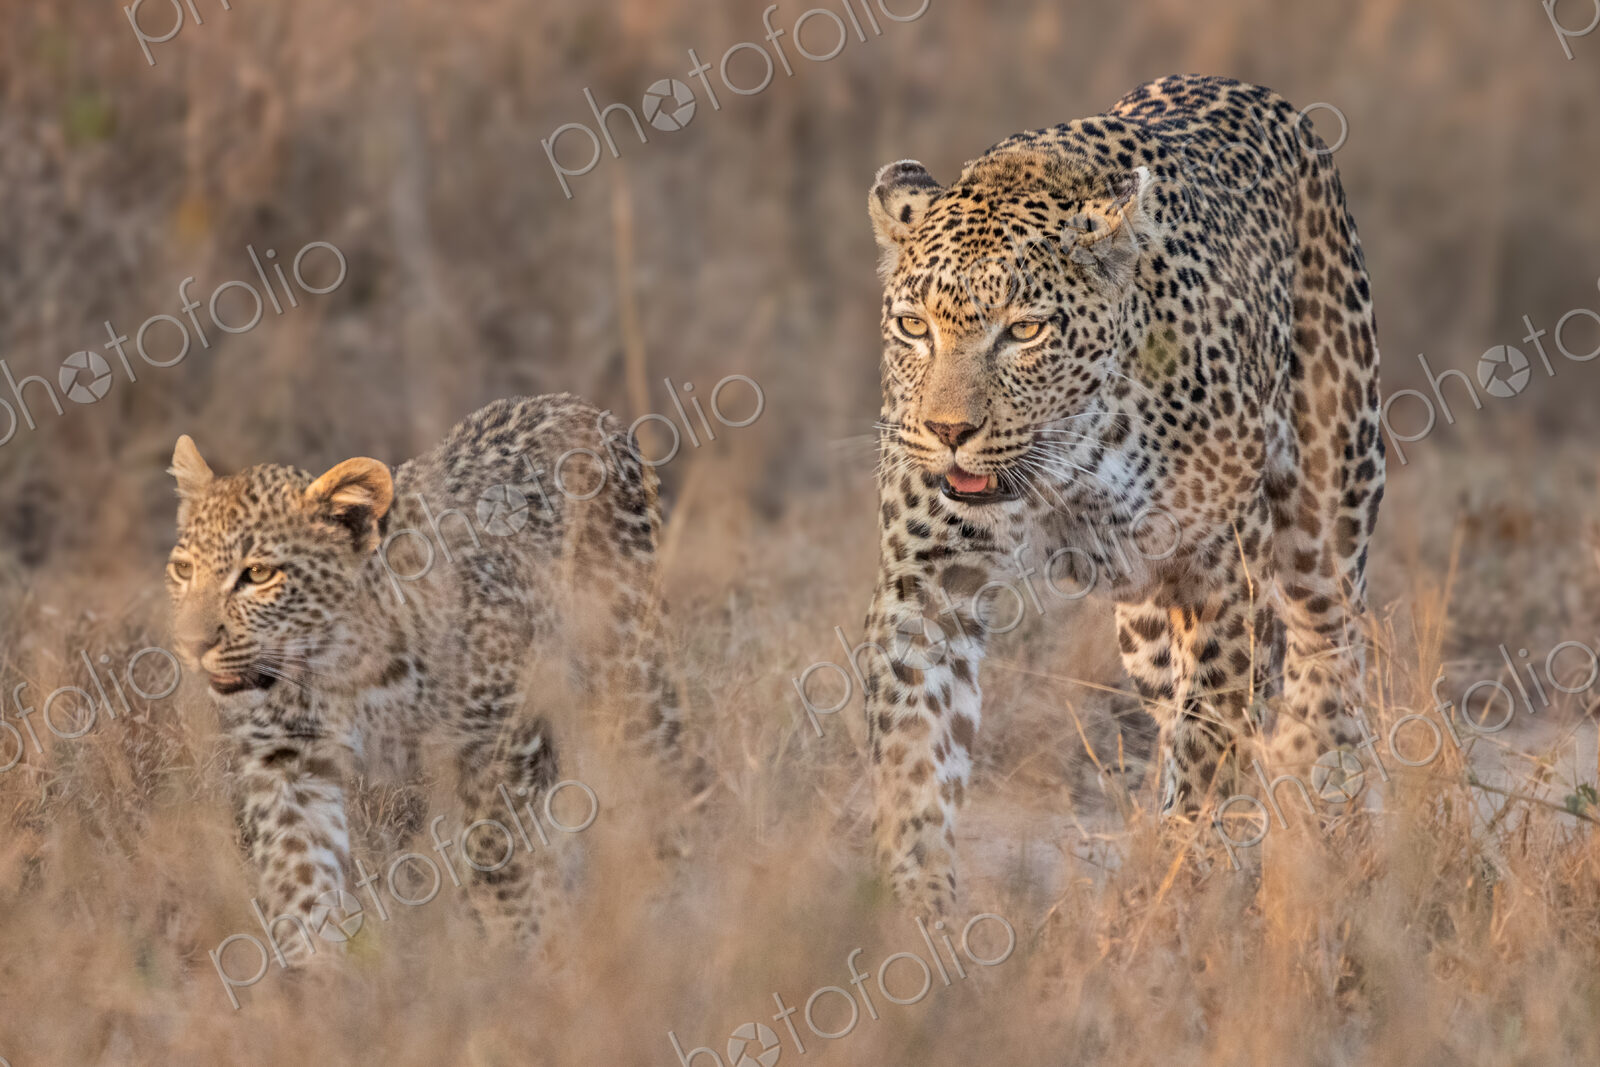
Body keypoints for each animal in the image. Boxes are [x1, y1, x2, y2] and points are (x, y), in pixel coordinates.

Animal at [165, 393, 682, 959]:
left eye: (258, 574)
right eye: (183, 570)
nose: (192, 644)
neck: (339, 669)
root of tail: (581, 406)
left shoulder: (500, 737)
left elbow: (498, 856)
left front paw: (523, 948)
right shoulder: (286, 762)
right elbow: (300, 879)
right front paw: (318, 975)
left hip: (629, 676)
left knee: (666, 779)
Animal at [859, 75, 1384, 917]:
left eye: (1025, 330)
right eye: (914, 327)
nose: (947, 431)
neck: (1066, 457)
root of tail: (1258, 94)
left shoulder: (1220, 574)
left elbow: (1211, 737)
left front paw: (1182, 883)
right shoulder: (929, 576)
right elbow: (916, 744)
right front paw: (916, 903)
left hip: (1326, 509)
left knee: (1327, 655)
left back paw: (1327, 813)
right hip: (1141, 625)